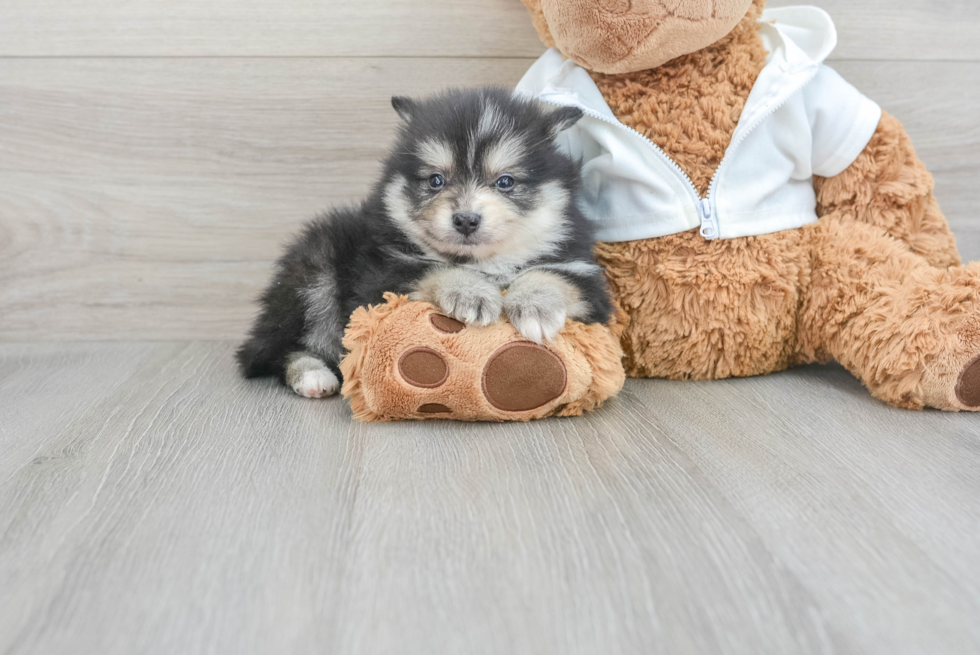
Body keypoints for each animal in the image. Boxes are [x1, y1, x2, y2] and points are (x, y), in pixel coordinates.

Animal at [234, 87, 608, 400]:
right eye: (436, 180)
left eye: (505, 182)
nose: (466, 220)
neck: (482, 261)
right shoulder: (382, 277)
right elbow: (433, 269)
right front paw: (471, 293)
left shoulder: (586, 278)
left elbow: (555, 277)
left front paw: (536, 306)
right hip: (316, 267)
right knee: (274, 350)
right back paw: (312, 374)